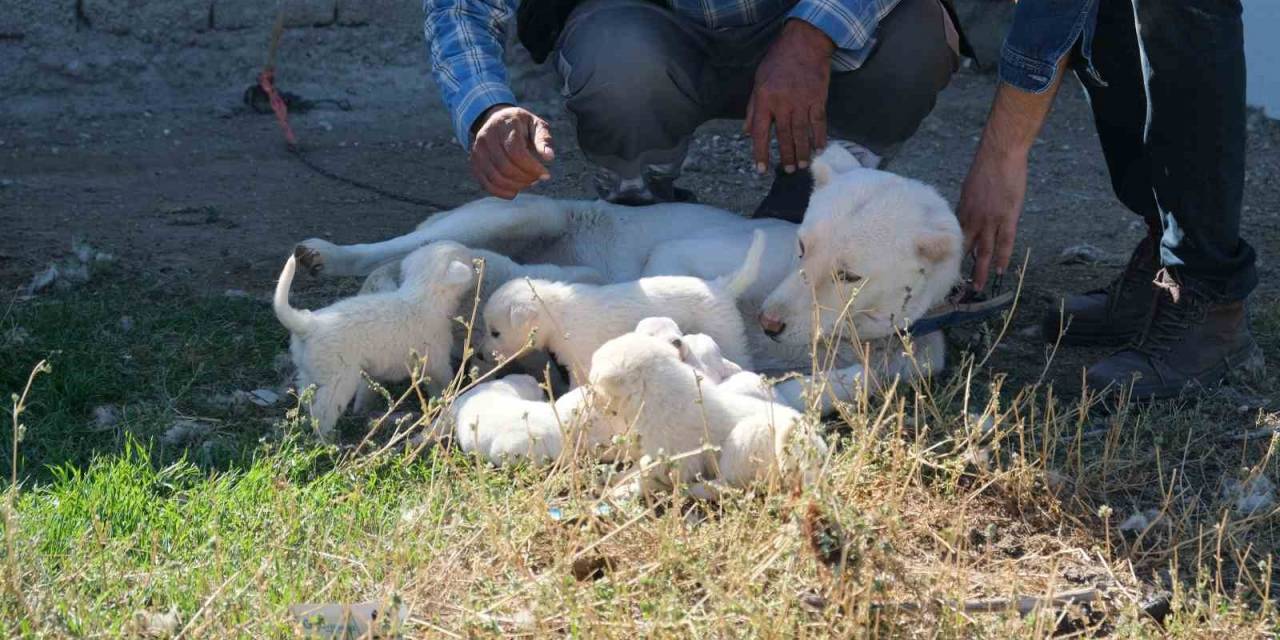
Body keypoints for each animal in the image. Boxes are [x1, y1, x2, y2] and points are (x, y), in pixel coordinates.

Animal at [273, 240, 476, 440]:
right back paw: (327, 439)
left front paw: (363, 409)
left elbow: (367, 390)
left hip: (308, 372)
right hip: (338, 378)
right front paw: (449, 395)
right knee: (323, 411)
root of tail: (309, 324)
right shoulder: (436, 360)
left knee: (306, 398)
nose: (477, 263)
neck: (423, 294)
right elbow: (442, 382)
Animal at [296, 145, 962, 384]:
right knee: (394, 248)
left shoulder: (908, 354)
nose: (771, 325)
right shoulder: (678, 256)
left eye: (850, 276)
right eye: (801, 247)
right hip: (520, 213)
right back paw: (327, 255)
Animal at [588, 332, 829, 496]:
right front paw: (613, 477)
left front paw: (620, 492)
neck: (657, 395)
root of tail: (811, 443)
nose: (590, 399)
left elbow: (648, 476)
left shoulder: (676, 457)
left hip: (745, 438)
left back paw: (697, 489)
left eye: (594, 384)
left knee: (730, 485)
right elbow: (637, 467)